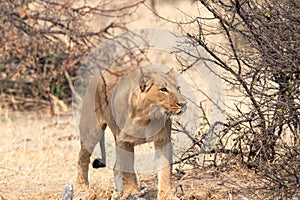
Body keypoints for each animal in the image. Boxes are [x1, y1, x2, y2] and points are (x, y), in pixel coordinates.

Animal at [76, 65, 186, 198]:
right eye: (163, 89)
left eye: (178, 88)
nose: (183, 104)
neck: (148, 117)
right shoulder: (124, 141)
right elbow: (128, 170)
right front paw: (132, 193)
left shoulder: (163, 139)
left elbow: (165, 170)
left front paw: (167, 195)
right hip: (92, 131)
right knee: (82, 158)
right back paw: (82, 187)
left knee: (115, 167)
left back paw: (118, 192)